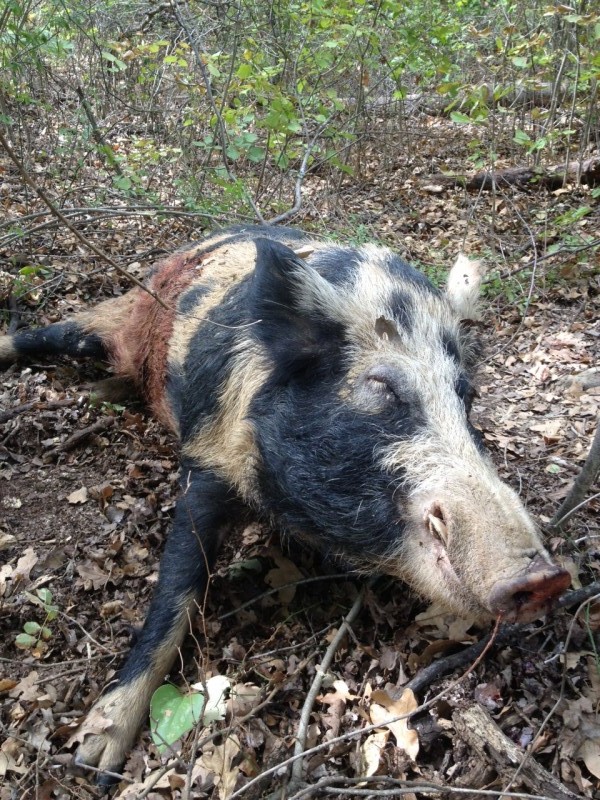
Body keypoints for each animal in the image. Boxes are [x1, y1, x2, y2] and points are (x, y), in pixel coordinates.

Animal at [0, 225, 570, 782]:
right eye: (382, 387)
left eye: (466, 397)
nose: (546, 578)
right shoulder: (204, 461)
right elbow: (175, 593)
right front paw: (92, 761)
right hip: (106, 317)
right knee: (49, 334)